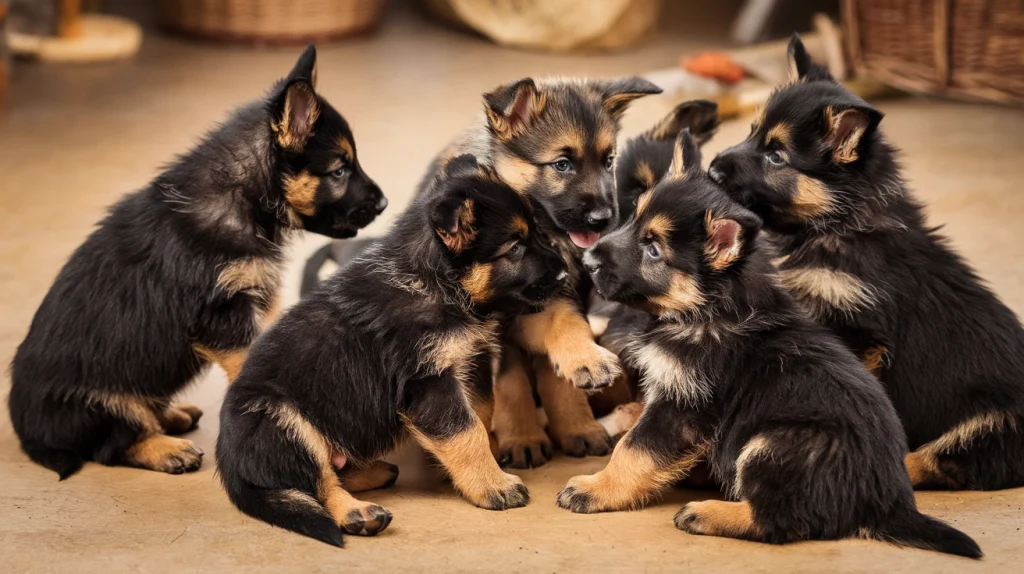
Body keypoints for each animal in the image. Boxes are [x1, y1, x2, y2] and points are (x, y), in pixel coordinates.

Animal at [9, 44, 385, 476]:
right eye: (339, 170)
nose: (384, 203)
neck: (244, 195)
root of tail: (26, 432)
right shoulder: (224, 315)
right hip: (99, 404)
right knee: (115, 443)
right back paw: (167, 448)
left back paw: (170, 415)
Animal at [217, 155, 569, 544]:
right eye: (515, 247)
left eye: (536, 232)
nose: (565, 275)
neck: (434, 282)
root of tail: (230, 465)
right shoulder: (430, 381)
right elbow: (466, 431)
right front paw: (493, 485)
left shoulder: (469, 361)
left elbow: (480, 415)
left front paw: (480, 468)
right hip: (281, 418)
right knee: (316, 484)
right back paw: (357, 512)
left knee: (327, 474)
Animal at [561, 127, 983, 556]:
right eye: (633, 218)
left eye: (653, 249)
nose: (588, 261)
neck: (708, 308)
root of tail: (889, 503)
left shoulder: (683, 403)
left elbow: (635, 449)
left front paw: (596, 488)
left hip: (776, 443)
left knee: (781, 521)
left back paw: (708, 513)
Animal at [708, 33, 1024, 487]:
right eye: (753, 133)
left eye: (777, 156)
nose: (712, 170)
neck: (837, 223)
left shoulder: (858, 331)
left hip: (991, 424)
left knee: (931, 461)